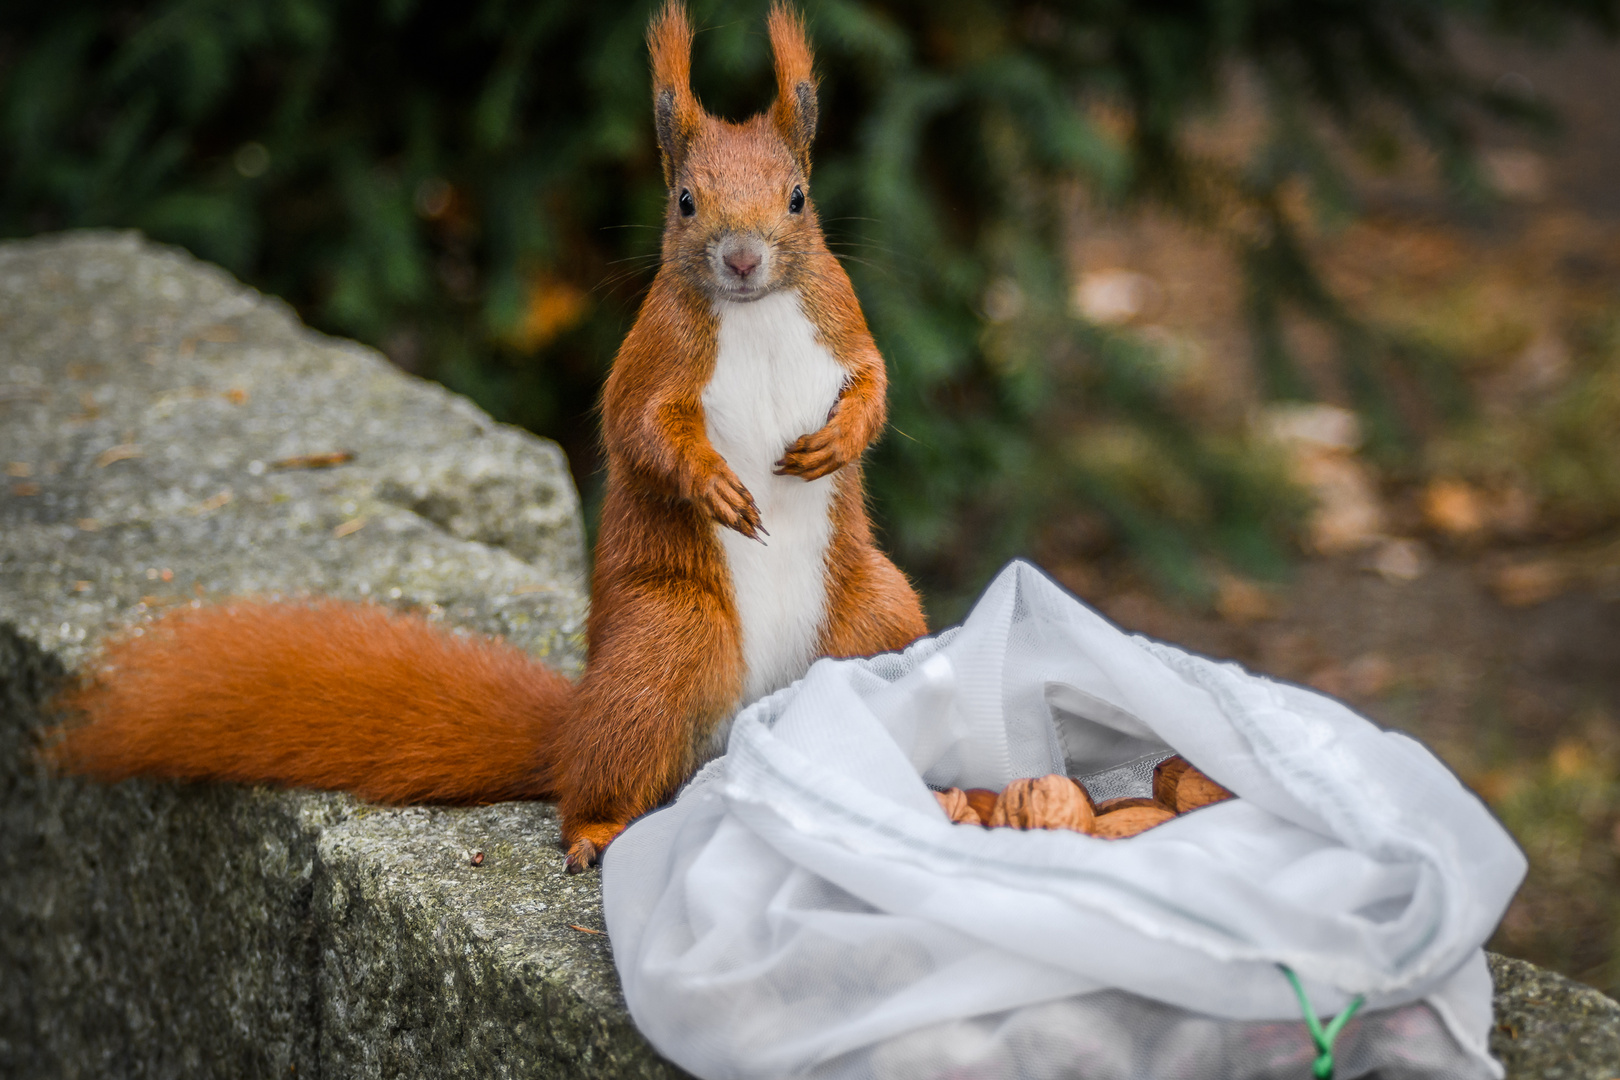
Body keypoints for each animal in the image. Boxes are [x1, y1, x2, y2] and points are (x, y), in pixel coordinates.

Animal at [50, 4, 926, 874]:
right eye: (684, 201)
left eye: (798, 198)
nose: (741, 259)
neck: (754, 311)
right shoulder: (652, 360)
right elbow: (641, 430)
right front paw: (714, 484)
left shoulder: (842, 324)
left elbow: (876, 385)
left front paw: (837, 444)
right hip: (665, 651)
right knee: (600, 771)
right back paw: (596, 832)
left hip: (876, 618)